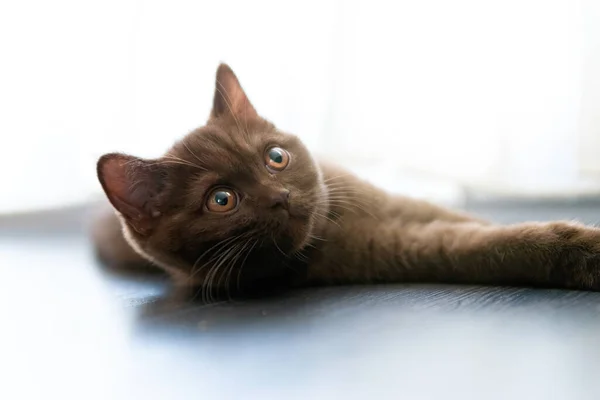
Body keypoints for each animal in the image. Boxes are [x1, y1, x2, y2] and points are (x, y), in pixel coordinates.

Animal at [92, 63, 600, 300]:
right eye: (221, 200)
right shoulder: (392, 245)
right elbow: (489, 244)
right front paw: (584, 250)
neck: (334, 223)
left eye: (275, 157)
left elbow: (470, 221)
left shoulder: (401, 204)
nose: (279, 196)